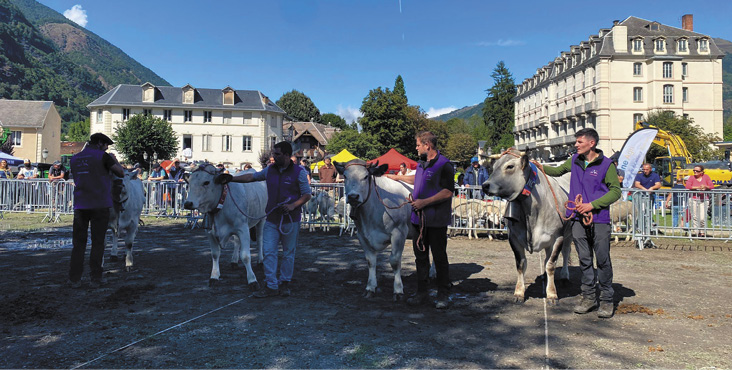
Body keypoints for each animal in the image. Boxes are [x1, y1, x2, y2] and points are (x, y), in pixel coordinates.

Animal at [336, 159, 414, 300]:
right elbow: (370, 261)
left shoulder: (399, 232)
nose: (353, 197)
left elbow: (395, 261)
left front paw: (398, 290)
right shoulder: (362, 235)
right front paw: (370, 287)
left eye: (366, 176)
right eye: (344, 176)